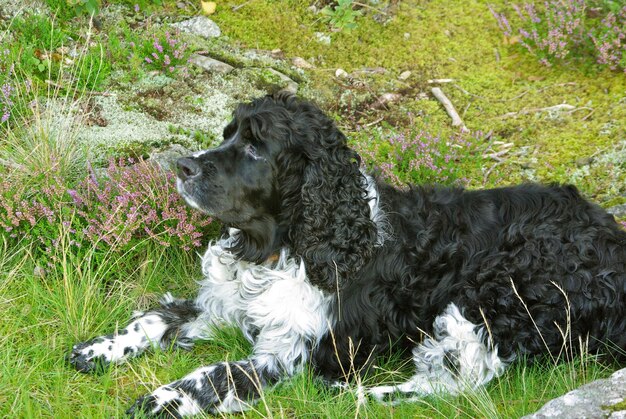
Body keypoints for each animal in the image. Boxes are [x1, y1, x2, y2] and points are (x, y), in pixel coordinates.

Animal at [68, 92, 624, 416]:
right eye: (228, 135)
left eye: (255, 147)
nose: (183, 166)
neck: (282, 247)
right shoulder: (223, 306)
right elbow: (153, 319)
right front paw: (98, 350)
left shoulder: (291, 352)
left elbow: (213, 375)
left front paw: (162, 398)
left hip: (490, 296)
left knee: (458, 383)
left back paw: (356, 395)